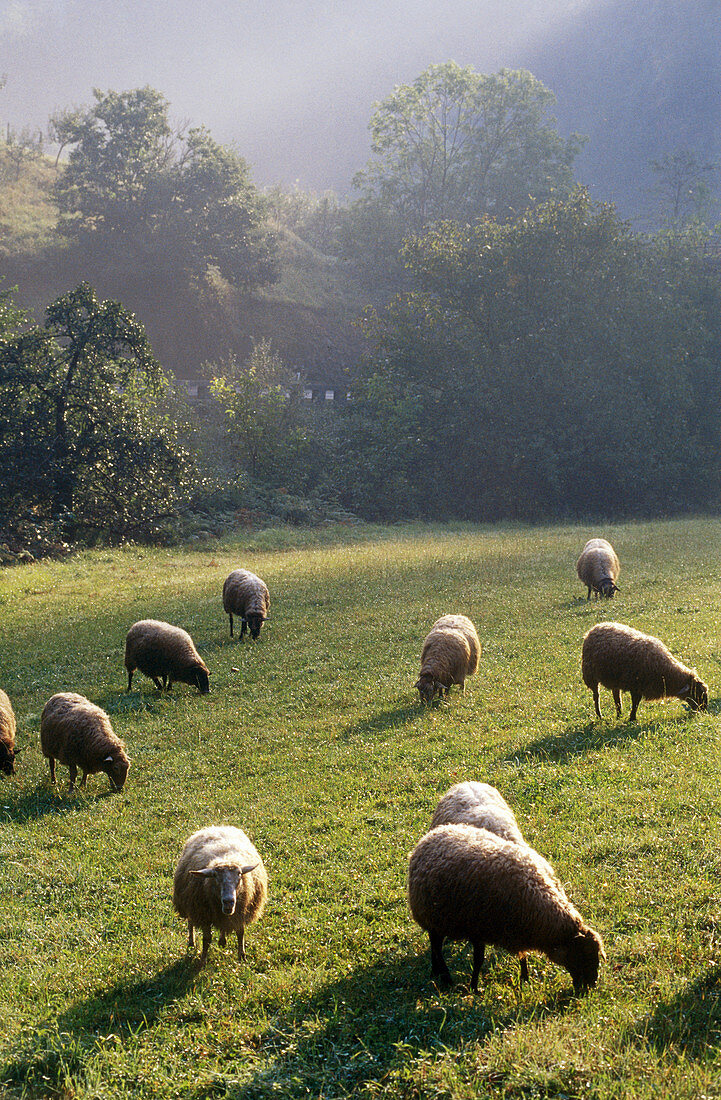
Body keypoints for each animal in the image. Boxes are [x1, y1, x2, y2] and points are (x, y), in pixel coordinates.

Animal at [173, 822, 269, 968]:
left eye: (239, 875)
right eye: (215, 877)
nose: (228, 901)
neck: (226, 858)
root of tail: (217, 827)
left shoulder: (240, 912)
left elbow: (240, 933)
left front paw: (242, 956)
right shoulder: (203, 914)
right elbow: (207, 939)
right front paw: (202, 961)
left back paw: (222, 941)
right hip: (189, 902)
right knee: (190, 922)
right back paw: (191, 942)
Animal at [405, 827, 603, 998]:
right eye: (582, 954)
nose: (591, 986)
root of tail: (433, 834)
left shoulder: (518, 928)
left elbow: (523, 955)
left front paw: (525, 978)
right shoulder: (478, 930)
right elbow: (478, 960)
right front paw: (474, 988)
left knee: (434, 945)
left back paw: (435, 971)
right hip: (433, 916)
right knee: (436, 946)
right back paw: (445, 977)